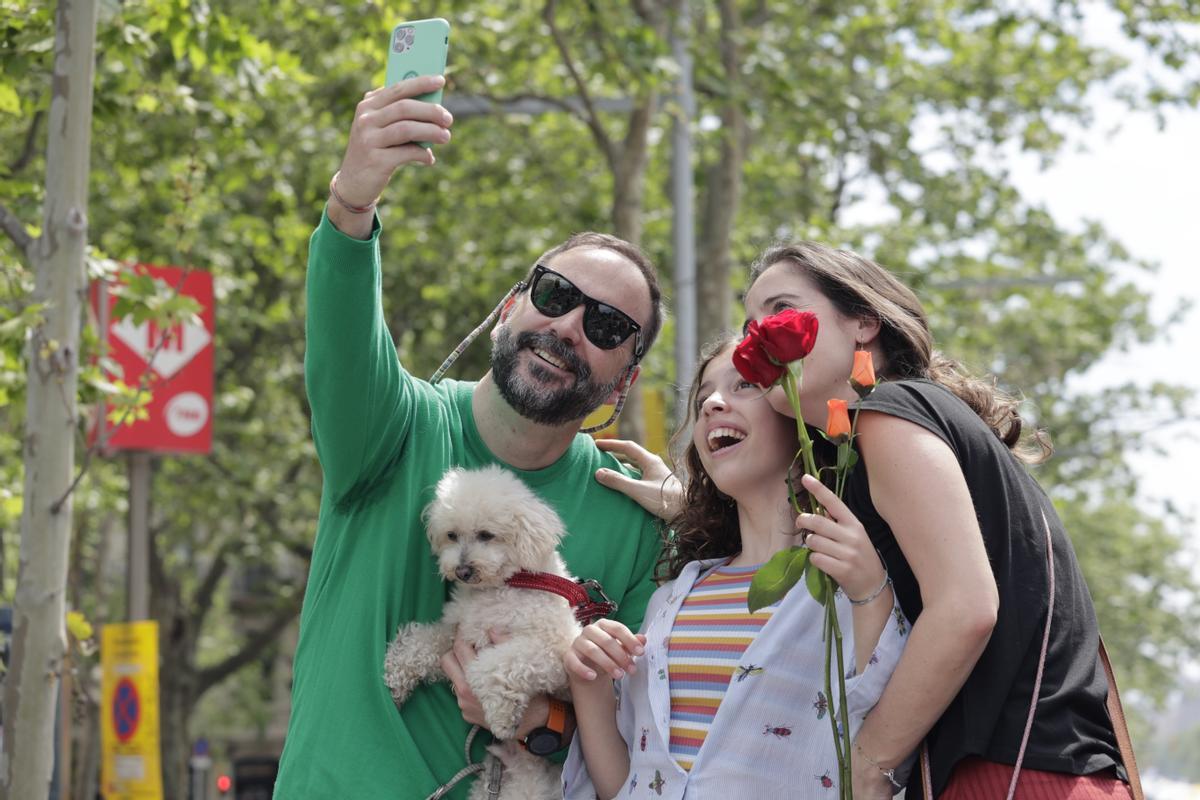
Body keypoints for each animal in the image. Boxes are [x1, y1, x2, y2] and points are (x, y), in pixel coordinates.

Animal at [384, 465, 580, 796]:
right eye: (452, 535)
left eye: (486, 535)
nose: (462, 571)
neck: (501, 587)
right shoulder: (458, 634)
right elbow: (420, 643)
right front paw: (396, 678)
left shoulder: (552, 647)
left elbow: (492, 667)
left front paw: (501, 715)